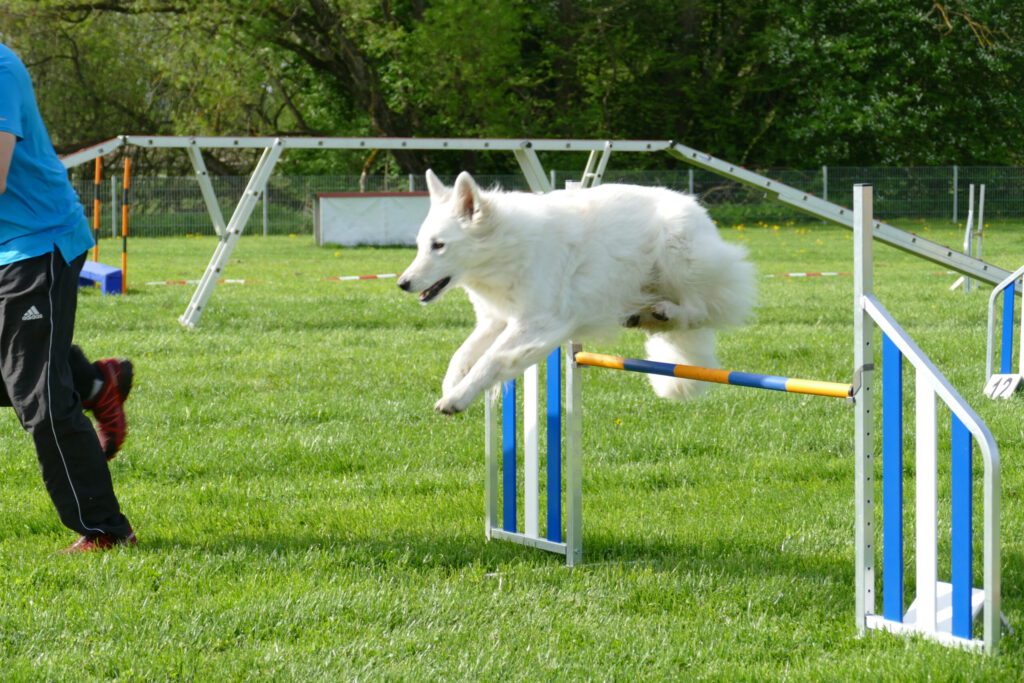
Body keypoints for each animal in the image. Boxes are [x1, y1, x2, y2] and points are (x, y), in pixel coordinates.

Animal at [398, 170, 756, 415]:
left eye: (439, 246)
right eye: (421, 245)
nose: (402, 283)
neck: (506, 246)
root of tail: (696, 208)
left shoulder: (537, 323)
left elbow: (491, 359)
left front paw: (457, 398)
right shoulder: (496, 321)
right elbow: (462, 355)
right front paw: (452, 384)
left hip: (677, 255)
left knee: (701, 310)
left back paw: (664, 311)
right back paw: (645, 316)